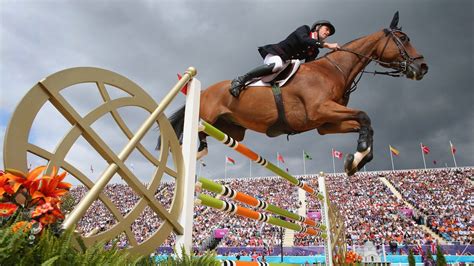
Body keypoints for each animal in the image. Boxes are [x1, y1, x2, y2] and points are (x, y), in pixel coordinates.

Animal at [161, 11, 428, 175]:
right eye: (403, 38)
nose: (423, 67)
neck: (334, 71)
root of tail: (205, 89)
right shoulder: (320, 110)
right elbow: (364, 116)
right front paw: (360, 152)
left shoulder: (326, 124)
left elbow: (365, 123)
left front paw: (356, 160)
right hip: (206, 115)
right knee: (188, 133)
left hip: (232, 129)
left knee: (205, 135)